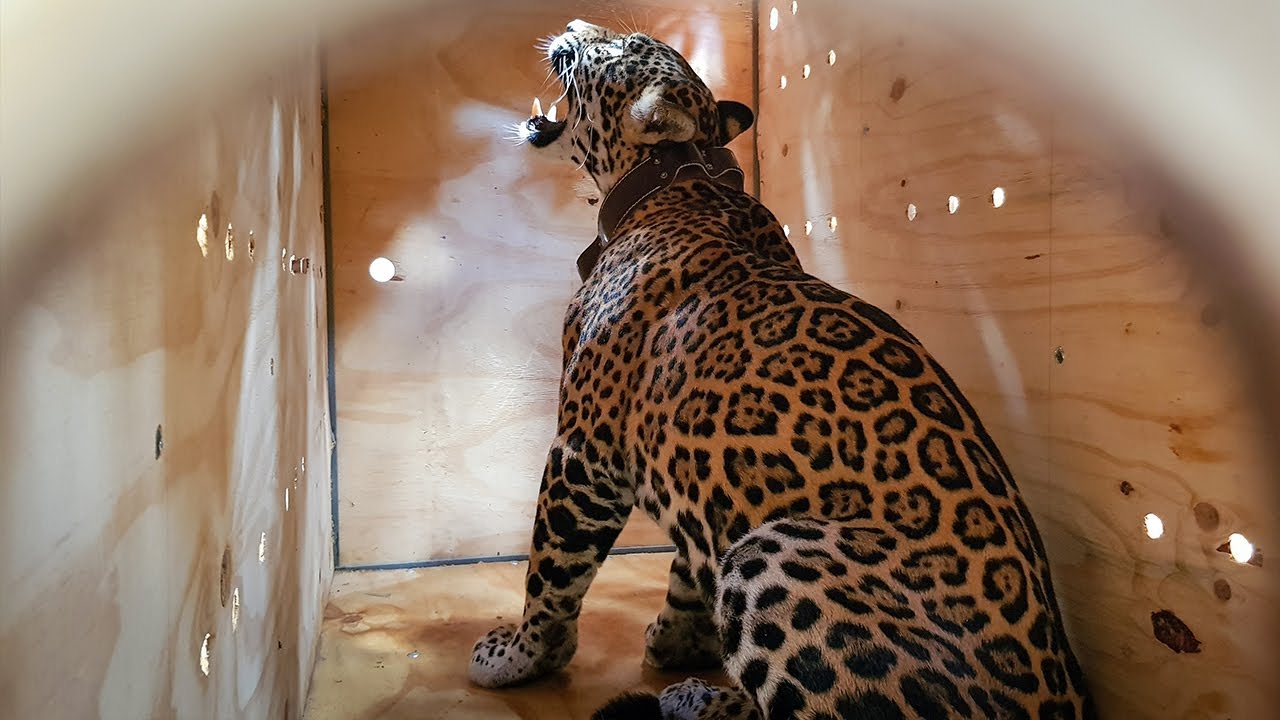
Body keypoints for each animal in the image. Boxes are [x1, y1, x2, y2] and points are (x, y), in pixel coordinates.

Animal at [469, 19, 1095, 720]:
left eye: (616, 47)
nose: (574, 27)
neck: (670, 183)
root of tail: (1064, 696)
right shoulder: (696, 482)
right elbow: (687, 569)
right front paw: (677, 640)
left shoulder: (584, 451)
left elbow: (551, 571)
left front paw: (520, 656)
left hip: (774, 551)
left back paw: (696, 700)